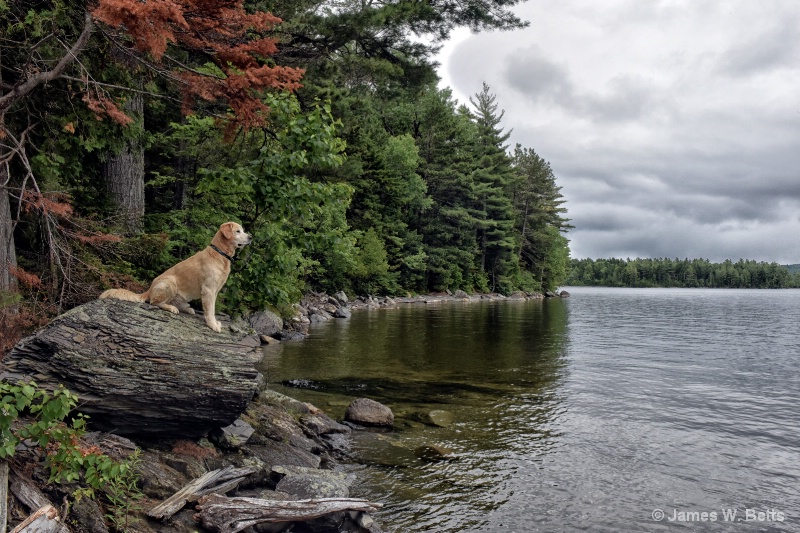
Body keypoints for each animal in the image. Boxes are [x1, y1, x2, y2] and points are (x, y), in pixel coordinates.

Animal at [100, 221, 252, 330]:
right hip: (170, 282)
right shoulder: (209, 289)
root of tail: (149, 289)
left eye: (243, 230)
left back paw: (187, 309)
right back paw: (171, 308)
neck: (220, 254)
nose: (251, 237)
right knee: (155, 302)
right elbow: (210, 310)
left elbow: (212, 309)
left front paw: (215, 322)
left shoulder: (215, 290)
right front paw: (213, 325)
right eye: (238, 231)